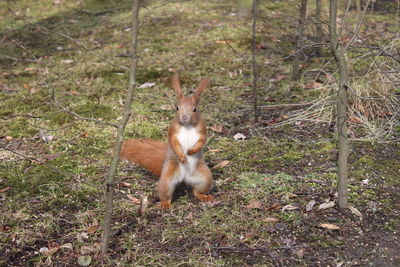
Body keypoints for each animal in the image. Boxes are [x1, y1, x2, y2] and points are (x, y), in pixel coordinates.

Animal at [120, 75, 214, 209]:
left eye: (194, 109)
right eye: (177, 108)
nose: (184, 117)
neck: (187, 126)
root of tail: (185, 178)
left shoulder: (202, 130)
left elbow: (202, 141)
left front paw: (192, 151)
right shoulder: (172, 132)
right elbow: (174, 143)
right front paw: (182, 156)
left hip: (204, 178)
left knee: (197, 191)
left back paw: (204, 196)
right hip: (167, 179)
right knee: (166, 193)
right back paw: (165, 203)